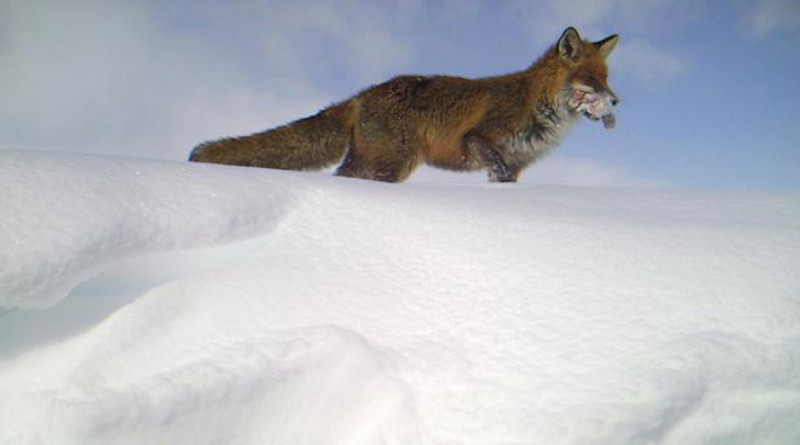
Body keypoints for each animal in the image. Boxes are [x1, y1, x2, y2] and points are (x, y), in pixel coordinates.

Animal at [189, 27, 620, 182]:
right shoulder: (479, 139)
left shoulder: (515, 167)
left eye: (607, 78)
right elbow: (488, 155)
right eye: (592, 80)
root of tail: (360, 95)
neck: (537, 106)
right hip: (393, 164)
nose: (617, 100)